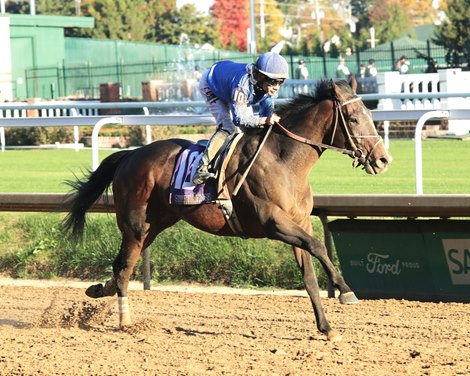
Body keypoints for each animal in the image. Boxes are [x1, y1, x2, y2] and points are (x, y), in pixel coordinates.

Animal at [62, 78, 392, 342]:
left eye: (369, 114)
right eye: (353, 118)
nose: (383, 160)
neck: (284, 160)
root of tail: (130, 155)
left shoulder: (300, 223)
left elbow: (310, 275)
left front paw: (326, 327)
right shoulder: (274, 222)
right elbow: (320, 247)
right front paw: (345, 290)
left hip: (154, 225)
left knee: (119, 267)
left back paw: (99, 291)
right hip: (135, 226)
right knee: (124, 267)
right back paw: (125, 320)